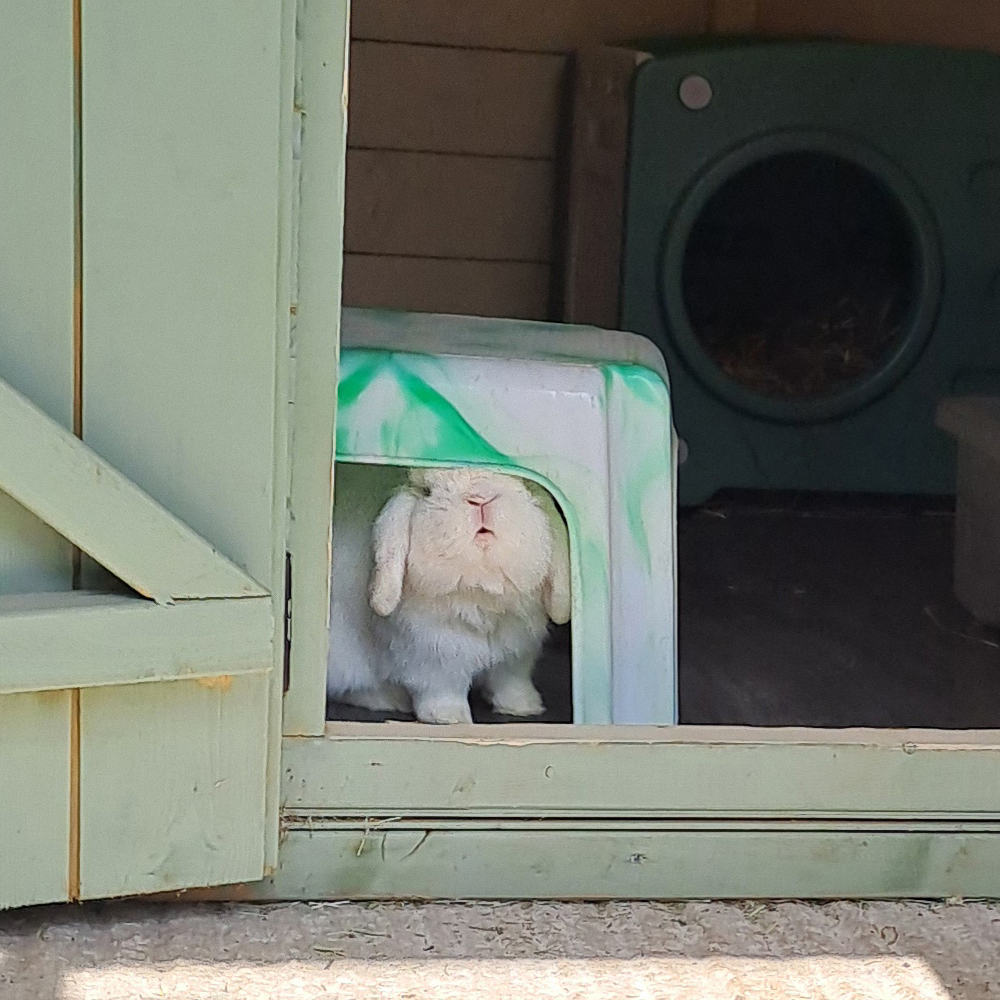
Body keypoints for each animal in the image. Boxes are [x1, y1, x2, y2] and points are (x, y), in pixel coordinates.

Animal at [327, 463, 571, 724]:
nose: (480, 499)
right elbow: (443, 689)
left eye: (522, 482)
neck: (481, 594)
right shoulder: (434, 656)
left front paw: (525, 707)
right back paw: (389, 700)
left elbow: (511, 682)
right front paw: (448, 718)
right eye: (427, 491)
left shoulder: (517, 654)